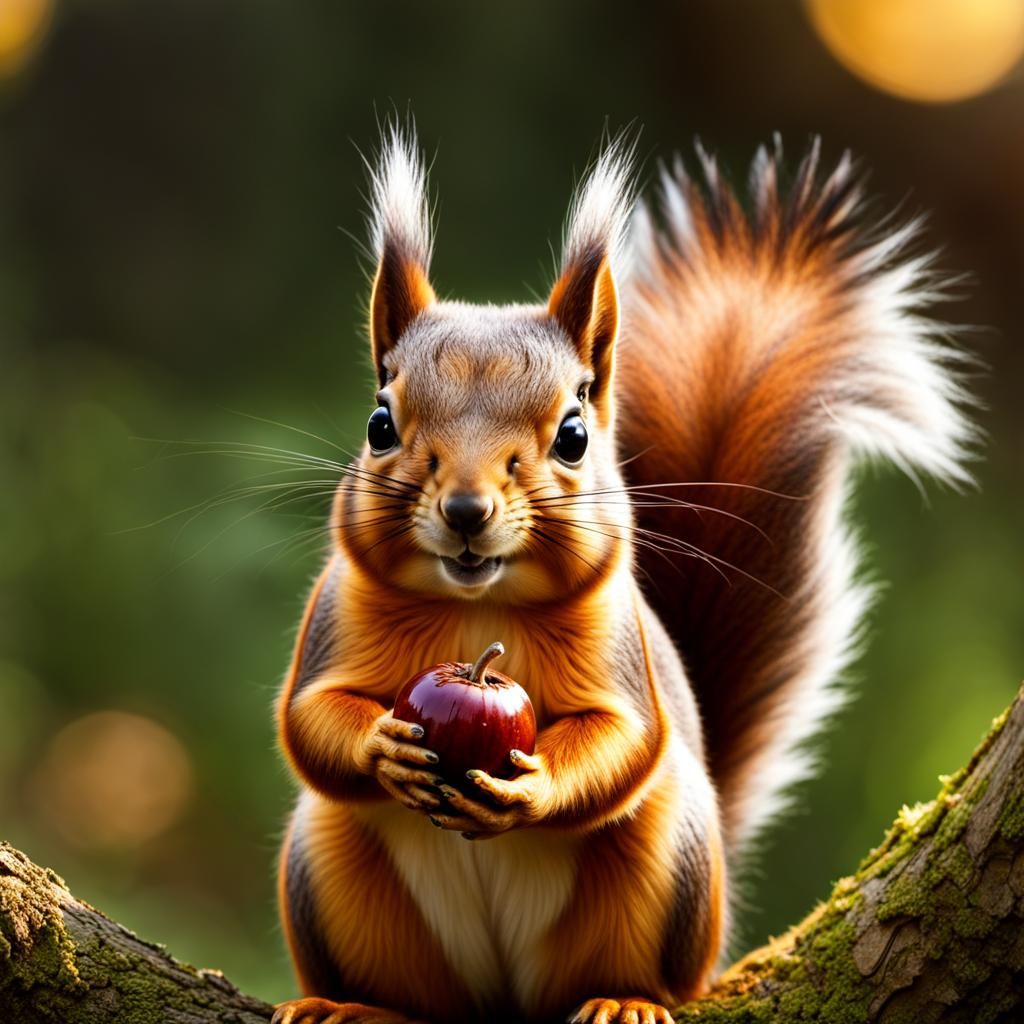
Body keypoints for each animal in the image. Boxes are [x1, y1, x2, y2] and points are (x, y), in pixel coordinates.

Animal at [272, 127, 974, 1024]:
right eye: (380, 423)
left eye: (574, 434)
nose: (465, 509)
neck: (478, 608)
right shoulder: (335, 614)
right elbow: (310, 718)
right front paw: (383, 744)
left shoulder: (619, 640)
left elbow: (625, 738)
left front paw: (532, 787)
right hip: (329, 867)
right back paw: (354, 1006)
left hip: (664, 870)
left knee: (643, 963)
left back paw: (624, 1001)